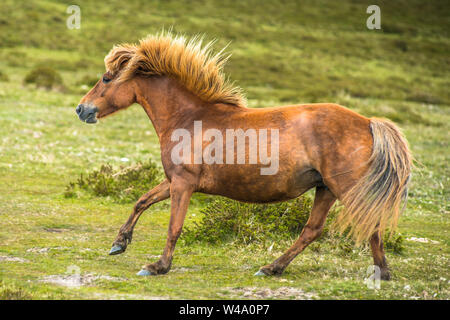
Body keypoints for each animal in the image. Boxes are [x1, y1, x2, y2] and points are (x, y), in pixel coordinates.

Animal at [75, 31, 410, 278]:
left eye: (106, 78)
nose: (81, 109)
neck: (189, 118)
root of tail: (368, 122)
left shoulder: (183, 184)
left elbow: (173, 227)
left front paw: (158, 266)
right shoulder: (175, 181)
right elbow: (141, 201)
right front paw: (119, 244)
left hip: (346, 189)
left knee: (370, 226)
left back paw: (380, 273)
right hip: (325, 188)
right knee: (312, 231)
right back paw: (272, 268)